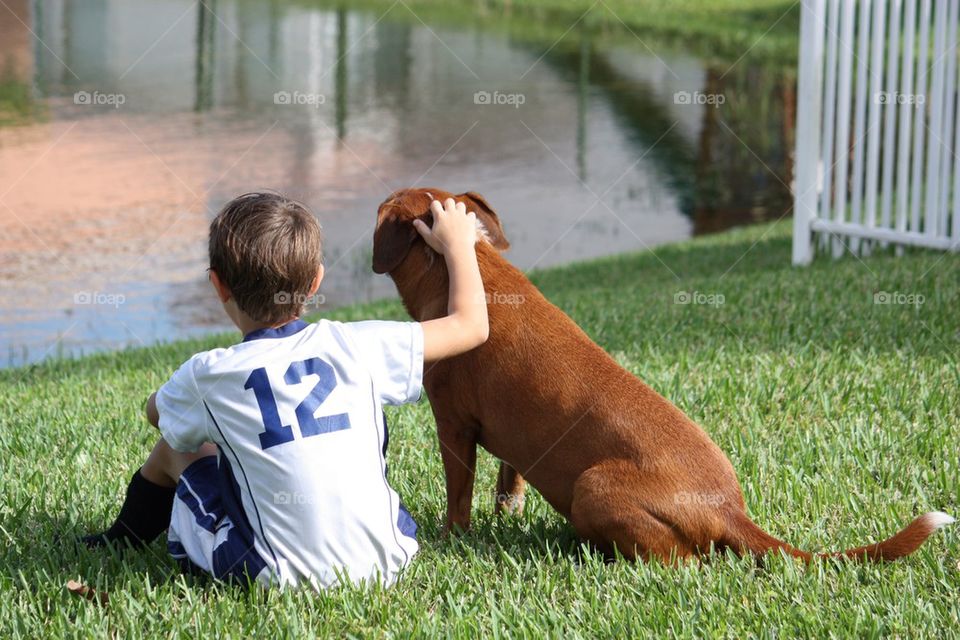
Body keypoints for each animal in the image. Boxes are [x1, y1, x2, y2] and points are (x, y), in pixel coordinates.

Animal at [374, 188, 952, 564]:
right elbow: (508, 476)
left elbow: (459, 494)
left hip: (592, 487)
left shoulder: (453, 426)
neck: (466, 266)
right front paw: (506, 513)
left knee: (687, 562)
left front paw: (452, 537)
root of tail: (729, 510)